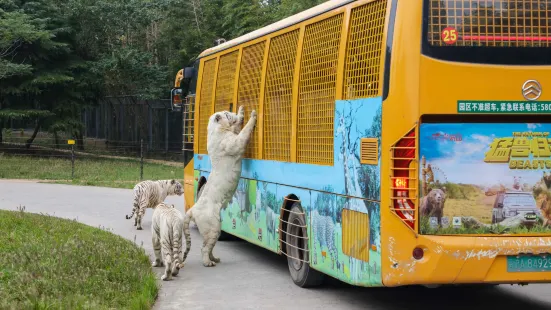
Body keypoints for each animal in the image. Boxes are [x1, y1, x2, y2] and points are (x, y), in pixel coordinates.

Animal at [183, 106, 256, 266]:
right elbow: (244, 132)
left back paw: (215, 259)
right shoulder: (235, 142)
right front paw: (253, 115)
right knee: (204, 247)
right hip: (212, 227)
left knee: (209, 247)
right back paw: (208, 263)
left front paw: (241, 111)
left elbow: (238, 127)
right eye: (227, 114)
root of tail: (192, 210)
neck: (218, 129)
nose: (232, 113)